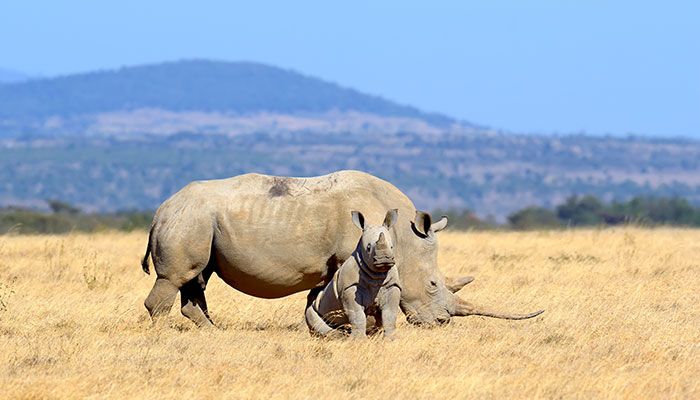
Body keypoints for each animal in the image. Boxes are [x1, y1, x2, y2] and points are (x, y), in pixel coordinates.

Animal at [305, 209, 402, 339]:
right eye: (368, 247)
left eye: (392, 246)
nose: (384, 260)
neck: (378, 273)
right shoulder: (349, 287)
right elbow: (357, 314)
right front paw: (359, 340)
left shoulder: (392, 285)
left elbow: (390, 314)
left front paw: (391, 339)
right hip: (315, 306)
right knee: (312, 316)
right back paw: (339, 336)